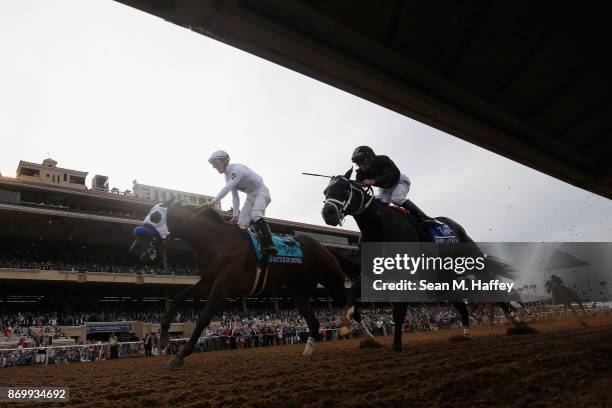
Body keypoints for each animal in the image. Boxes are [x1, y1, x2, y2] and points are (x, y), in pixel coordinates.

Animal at [128, 199, 354, 368]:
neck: (216, 242)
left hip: (332, 279)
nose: (135, 246)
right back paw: (308, 350)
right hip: (298, 290)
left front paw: (180, 355)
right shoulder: (208, 280)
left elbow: (203, 318)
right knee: (314, 321)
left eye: (155, 217)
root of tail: (324, 247)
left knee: (349, 302)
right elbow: (179, 296)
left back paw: (353, 332)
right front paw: (163, 337)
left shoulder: (223, 284)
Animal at [320, 171, 524, 352]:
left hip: (472, 262)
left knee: (491, 286)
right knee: (460, 304)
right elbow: (354, 291)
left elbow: (399, 311)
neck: (380, 226)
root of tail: (455, 225)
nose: (328, 213)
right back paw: (466, 334)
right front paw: (348, 323)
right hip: (443, 280)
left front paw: (397, 345)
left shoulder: (403, 276)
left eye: (345, 188)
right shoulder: (371, 271)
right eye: (326, 191)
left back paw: (515, 319)